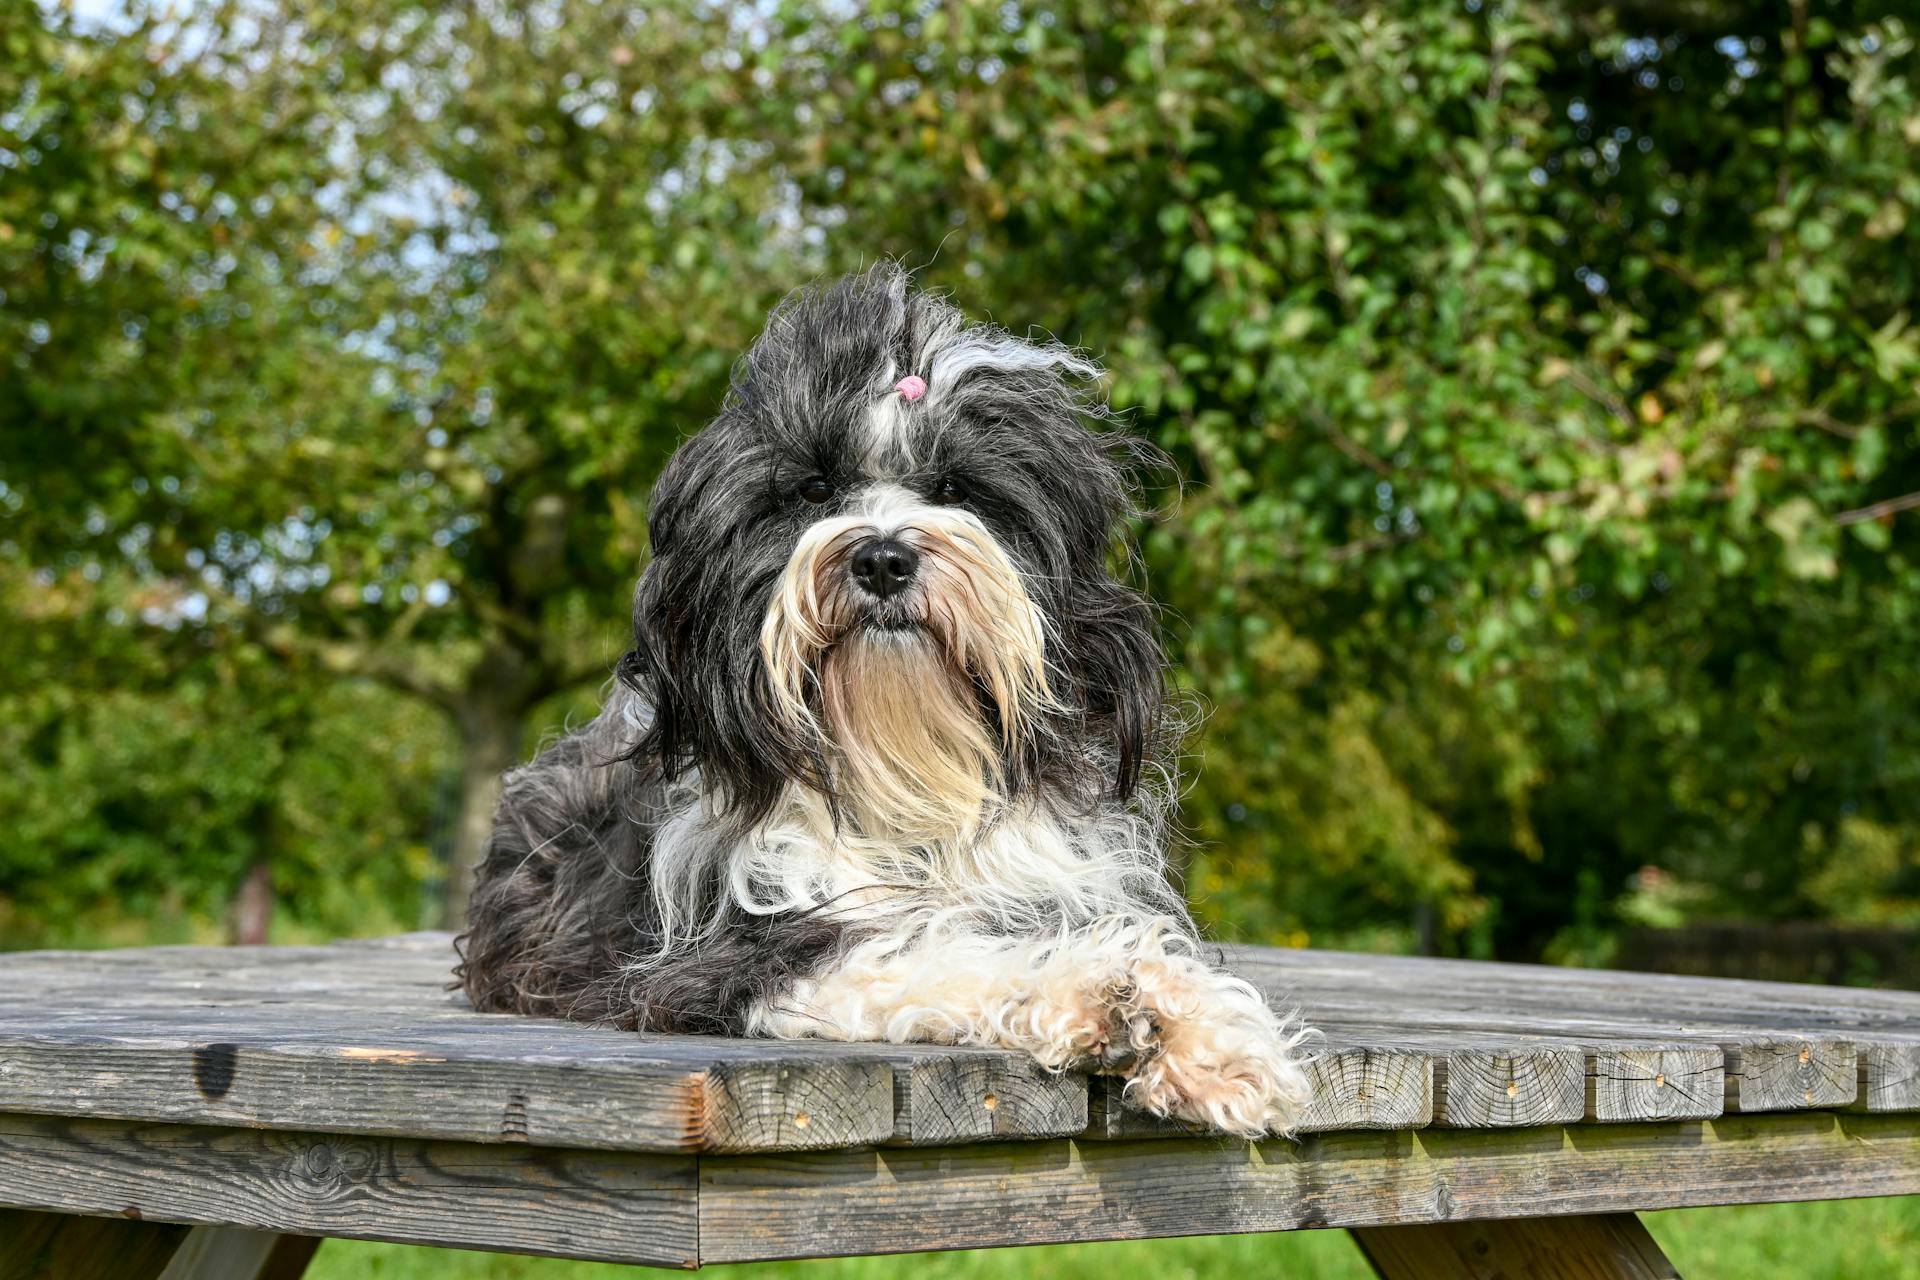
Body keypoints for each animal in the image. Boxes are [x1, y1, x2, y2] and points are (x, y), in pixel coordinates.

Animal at [456, 264, 1313, 1136]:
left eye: (955, 487)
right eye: (813, 488)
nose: (883, 559)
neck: (903, 777)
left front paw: (1208, 1037)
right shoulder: (731, 954)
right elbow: (925, 951)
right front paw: (1100, 993)